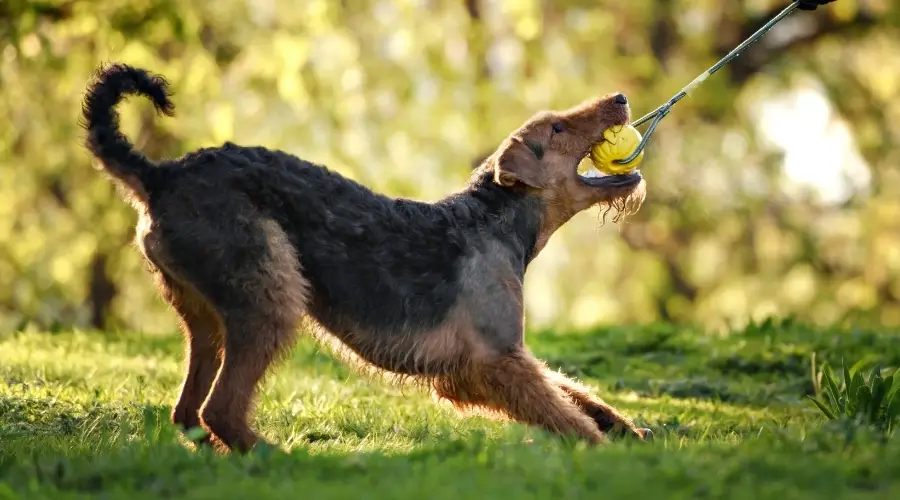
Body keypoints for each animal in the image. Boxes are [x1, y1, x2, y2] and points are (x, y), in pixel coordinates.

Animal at [81, 62, 652, 454]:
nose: (621, 97)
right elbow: (563, 412)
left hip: (206, 316)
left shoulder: (488, 364)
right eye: (556, 129)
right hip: (269, 295)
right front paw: (609, 454)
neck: (498, 221)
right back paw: (282, 459)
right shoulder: (493, 359)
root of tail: (161, 176)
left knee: (188, 412)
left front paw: (631, 429)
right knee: (219, 409)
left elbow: (574, 395)